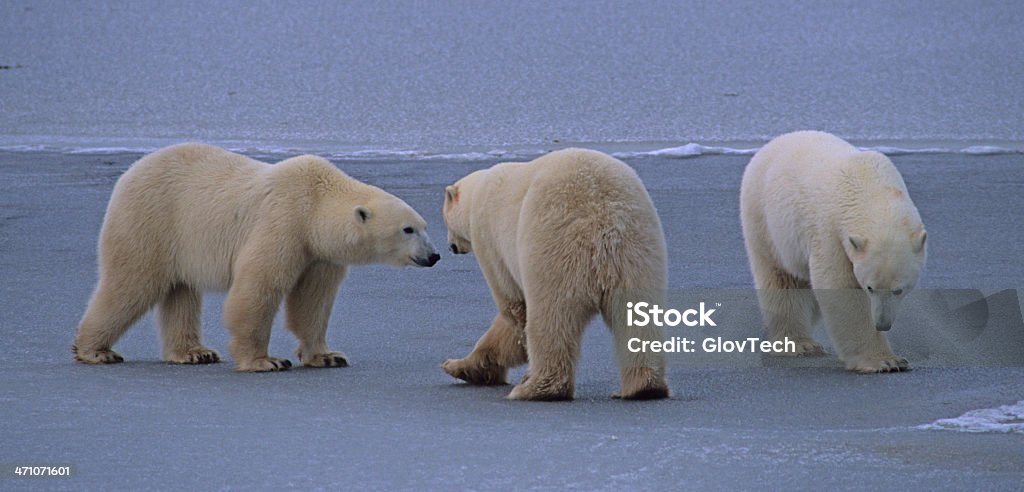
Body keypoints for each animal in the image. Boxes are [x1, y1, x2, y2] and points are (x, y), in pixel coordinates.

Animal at [71, 144, 440, 371]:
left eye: (425, 226)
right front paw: (266, 361)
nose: (434, 255)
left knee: (181, 291)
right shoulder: (283, 223)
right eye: (408, 229)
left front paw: (327, 355)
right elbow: (259, 288)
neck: (315, 204)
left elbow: (313, 301)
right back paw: (95, 351)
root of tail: (130, 171)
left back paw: (194, 353)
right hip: (151, 220)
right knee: (130, 284)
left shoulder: (318, 253)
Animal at [442, 148, 671, 399]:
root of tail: (604, 219)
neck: (479, 192)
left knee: (552, 318)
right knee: (637, 314)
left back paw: (536, 389)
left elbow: (513, 307)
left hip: (554, 246)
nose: (451, 246)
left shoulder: (490, 242)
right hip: (639, 249)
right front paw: (462, 367)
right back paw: (643, 387)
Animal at [737, 130, 929, 373]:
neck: (870, 186)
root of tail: (775, 141)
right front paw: (886, 361)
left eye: (899, 290)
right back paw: (798, 344)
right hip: (765, 222)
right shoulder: (830, 231)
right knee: (782, 281)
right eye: (869, 287)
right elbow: (839, 286)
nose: (882, 324)